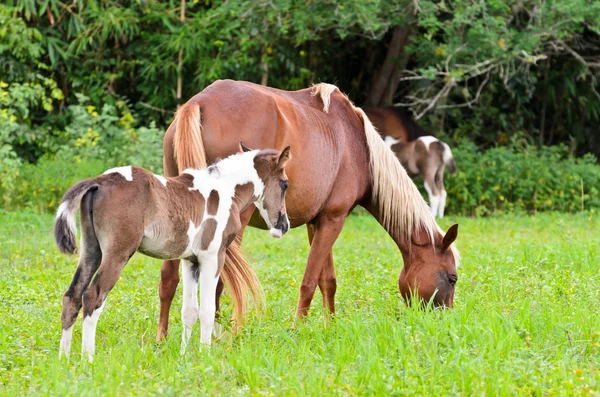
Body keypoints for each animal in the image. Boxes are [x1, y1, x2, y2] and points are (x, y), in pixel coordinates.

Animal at [55, 144, 292, 360]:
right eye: (285, 184)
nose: (283, 225)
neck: (225, 190)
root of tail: (99, 181)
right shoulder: (212, 257)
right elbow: (207, 311)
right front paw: (205, 357)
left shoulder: (190, 261)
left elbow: (189, 311)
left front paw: (184, 356)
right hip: (117, 254)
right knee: (92, 296)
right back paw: (88, 360)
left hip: (91, 251)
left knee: (72, 295)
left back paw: (64, 360)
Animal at [156, 80, 460, 340]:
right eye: (452, 278)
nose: (444, 321)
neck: (359, 145)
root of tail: (199, 102)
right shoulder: (334, 219)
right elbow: (310, 281)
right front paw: (297, 330)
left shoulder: (320, 222)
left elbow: (328, 280)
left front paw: (330, 326)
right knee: (218, 282)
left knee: (169, 277)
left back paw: (162, 338)